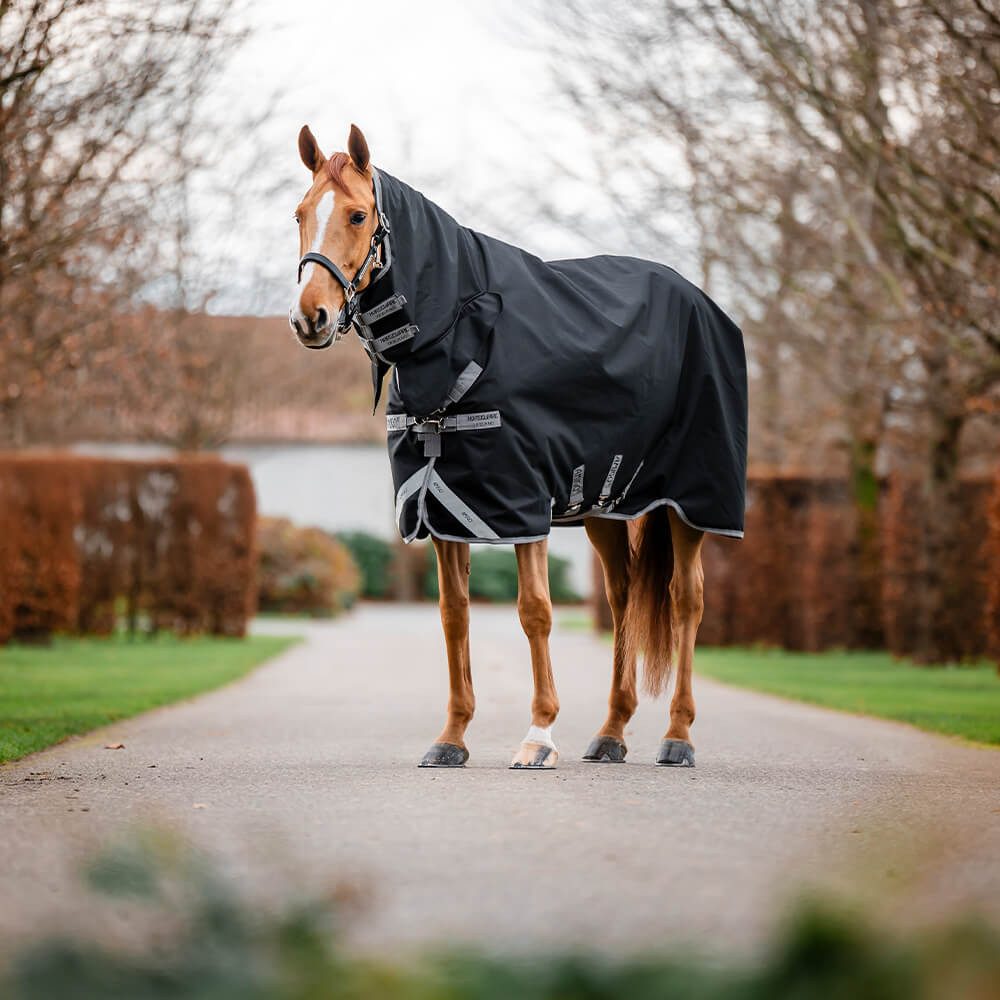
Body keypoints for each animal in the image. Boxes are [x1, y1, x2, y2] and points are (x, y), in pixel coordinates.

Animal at [288, 124, 747, 770]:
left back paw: (678, 736)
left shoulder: (522, 502)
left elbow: (535, 612)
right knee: (624, 597)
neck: (459, 330)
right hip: (603, 507)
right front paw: (451, 738)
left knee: (687, 601)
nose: (311, 317)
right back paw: (611, 732)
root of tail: (703, 302)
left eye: (357, 214)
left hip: (691, 502)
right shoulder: (444, 506)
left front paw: (539, 735)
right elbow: (454, 616)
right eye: (300, 214)